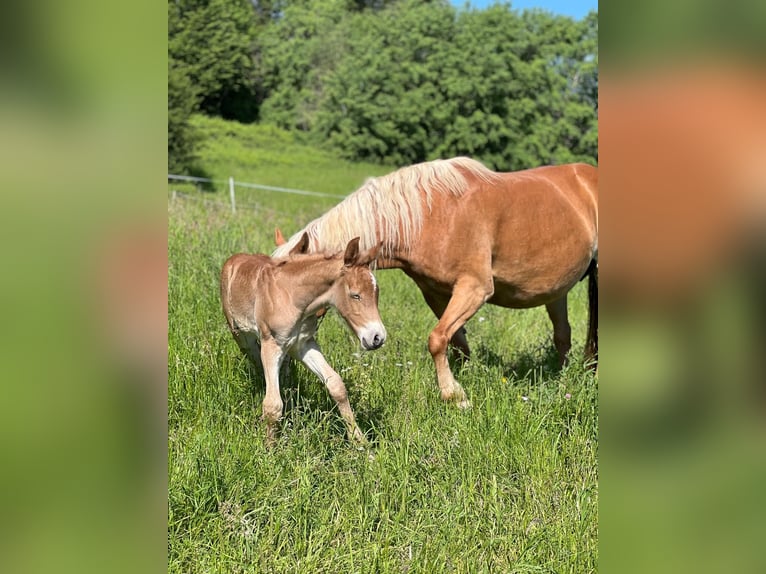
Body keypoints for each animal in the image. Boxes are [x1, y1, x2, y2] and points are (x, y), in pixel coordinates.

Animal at [219, 234, 388, 446]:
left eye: (377, 292)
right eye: (355, 295)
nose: (377, 337)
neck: (293, 297)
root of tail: (234, 259)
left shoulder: (304, 344)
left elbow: (337, 386)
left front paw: (360, 441)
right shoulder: (271, 345)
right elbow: (273, 405)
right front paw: (269, 448)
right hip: (240, 335)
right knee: (254, 357)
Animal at [274, 158, 600, 410]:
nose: (281, 339)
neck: (433, 215)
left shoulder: (474, 288)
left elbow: (437, 339)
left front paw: (454, 396)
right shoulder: (434, 292)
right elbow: (456, 343)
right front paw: (462, 383)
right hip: (555, 292)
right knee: (563, 335)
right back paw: (562, 380)